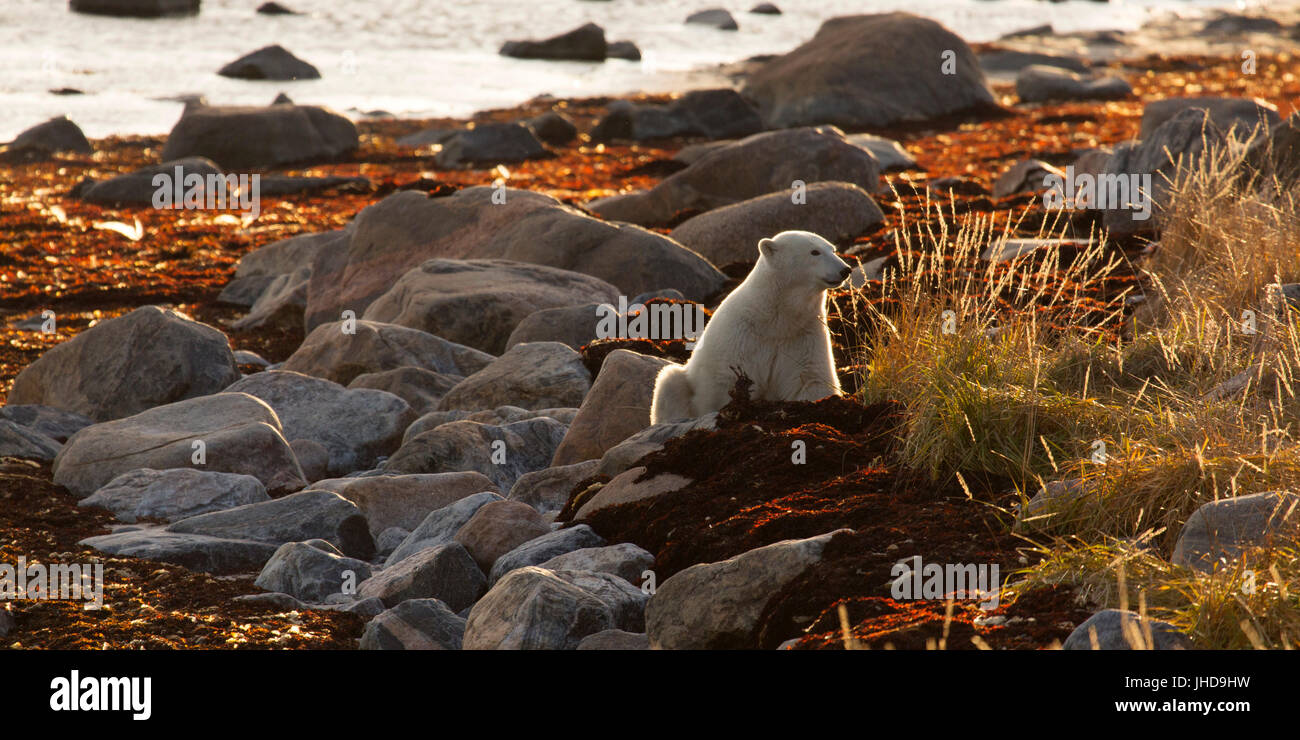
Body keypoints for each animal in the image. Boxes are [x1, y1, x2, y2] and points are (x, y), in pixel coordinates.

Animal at [650, 227, 852, 423]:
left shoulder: (803, 335)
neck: (774, 321)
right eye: (814, 252)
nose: (846, 270)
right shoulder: (741, 338)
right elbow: (728, 381)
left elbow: (810, 379)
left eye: (833, 249)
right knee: (669, 382)